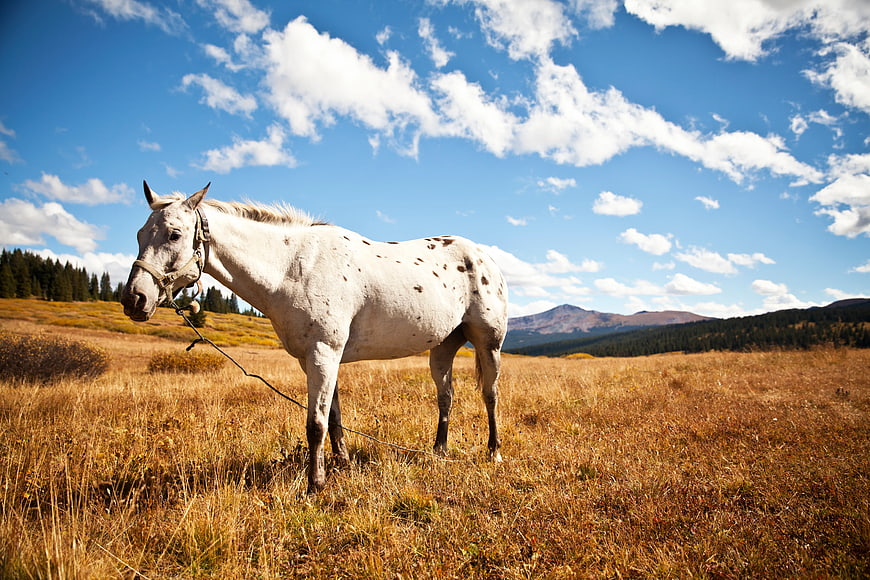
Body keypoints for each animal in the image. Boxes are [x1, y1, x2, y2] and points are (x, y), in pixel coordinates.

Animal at [121, 182, 509, 493]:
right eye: (139, 234)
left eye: (174, 234)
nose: (134, 299)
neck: (292, 267)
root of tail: (483, 256)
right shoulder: (315, 358)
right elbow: (333, 417)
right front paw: (341, 464)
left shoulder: (324, 352)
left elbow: (315, 423)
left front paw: (315, 485)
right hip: (442, 347)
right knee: (446, 397)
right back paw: (438, 451)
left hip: (489, 343)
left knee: (490, 395)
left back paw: (494, 452)